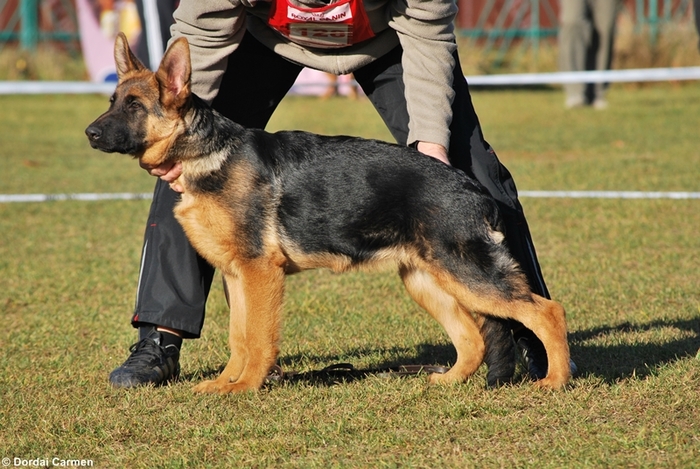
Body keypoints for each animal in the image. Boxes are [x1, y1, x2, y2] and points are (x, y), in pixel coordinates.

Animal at [87, 33, 572, 392]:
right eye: (111, 101)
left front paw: (246, 388)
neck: (206, 152)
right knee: (472, 338)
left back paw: (554, 380)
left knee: (547, 311)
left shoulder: (260, 273)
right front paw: (226, 384)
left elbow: (258, 339)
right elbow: (239, 338)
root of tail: (474, 189)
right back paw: (448, 380)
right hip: (427, 280)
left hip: (469, 276)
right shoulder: (236, 276)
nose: (89, 133)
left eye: (134, 106)